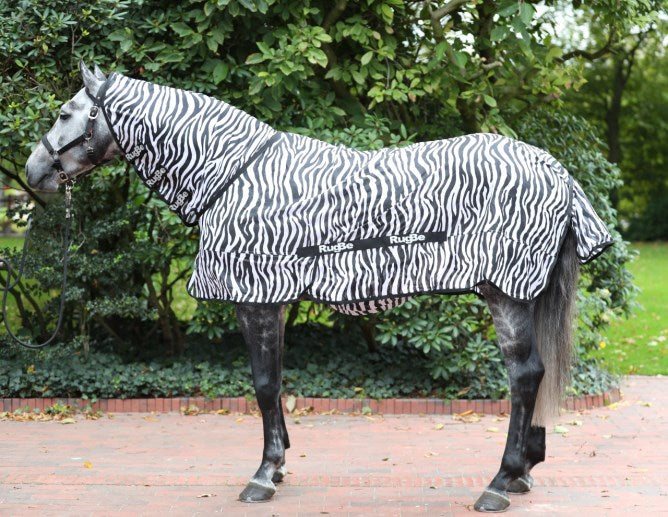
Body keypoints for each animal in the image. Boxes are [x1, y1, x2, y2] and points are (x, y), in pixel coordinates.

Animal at [25, 61, 612, 512]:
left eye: (65, 113)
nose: (33, 173)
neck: (232, 175)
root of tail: (554, 170)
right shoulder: (274, 300)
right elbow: (276, 379)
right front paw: (280, 463)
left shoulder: (254, 300)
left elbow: (263, 385)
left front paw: (263, 475)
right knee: (533, 377)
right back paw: (522, 473)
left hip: (504, 293)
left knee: (524, 376)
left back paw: (498, 483)